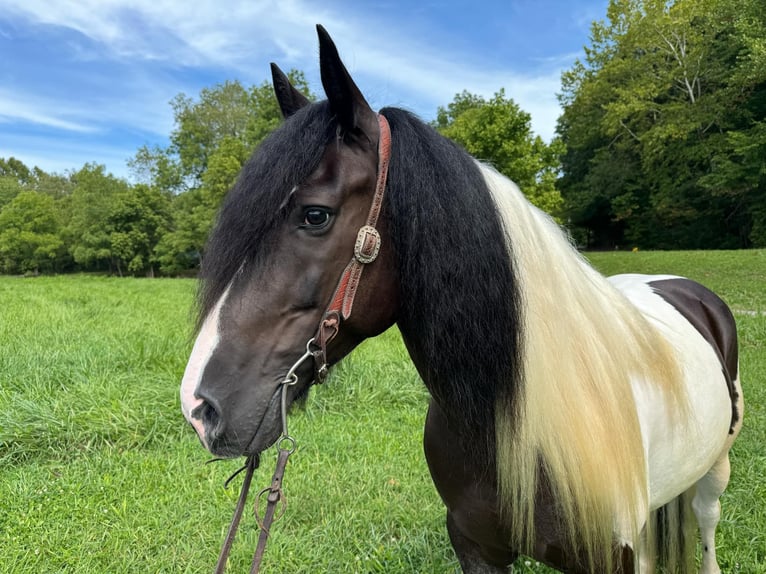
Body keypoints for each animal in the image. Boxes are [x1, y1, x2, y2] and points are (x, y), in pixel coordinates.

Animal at [180, 25, 744, 573]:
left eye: (315, 215)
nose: (198, 408)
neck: (520, 419)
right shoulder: (476, 547)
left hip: (716, 470)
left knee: (707, 521)